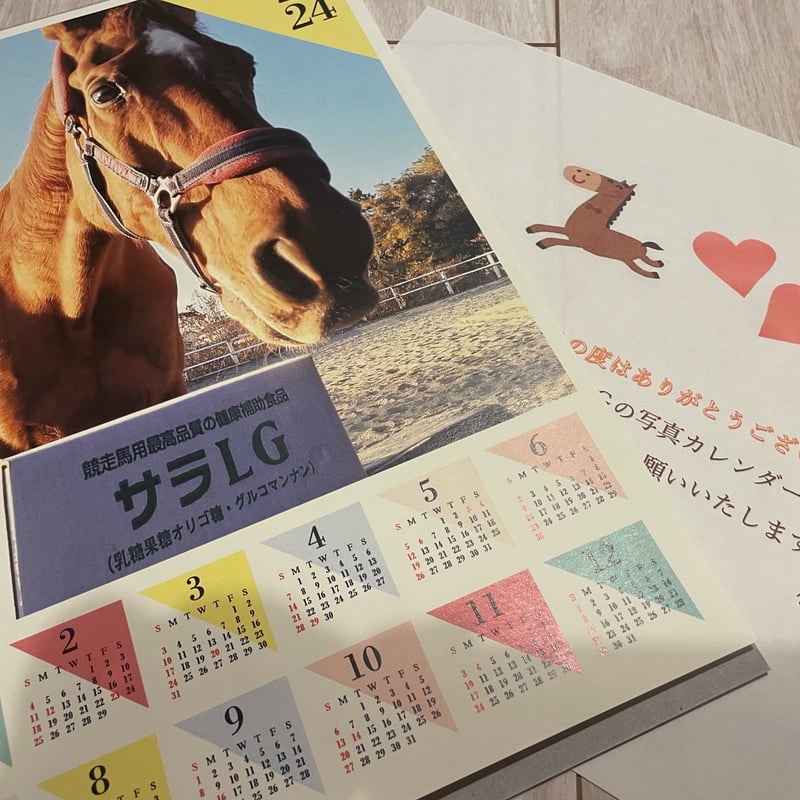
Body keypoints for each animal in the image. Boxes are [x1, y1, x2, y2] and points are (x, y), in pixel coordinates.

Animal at [526, 166, 664, 279]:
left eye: (618, 186)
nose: (579, 171)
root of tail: (642, 245)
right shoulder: (567, 231)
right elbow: (550, 227)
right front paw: (532, 228)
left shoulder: (576, 242)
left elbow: (558, 240)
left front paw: (544, 242)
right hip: (633, 257)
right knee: (646, 259)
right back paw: (658, 263)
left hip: (627, 259)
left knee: (639, 267)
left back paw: (653, 273)